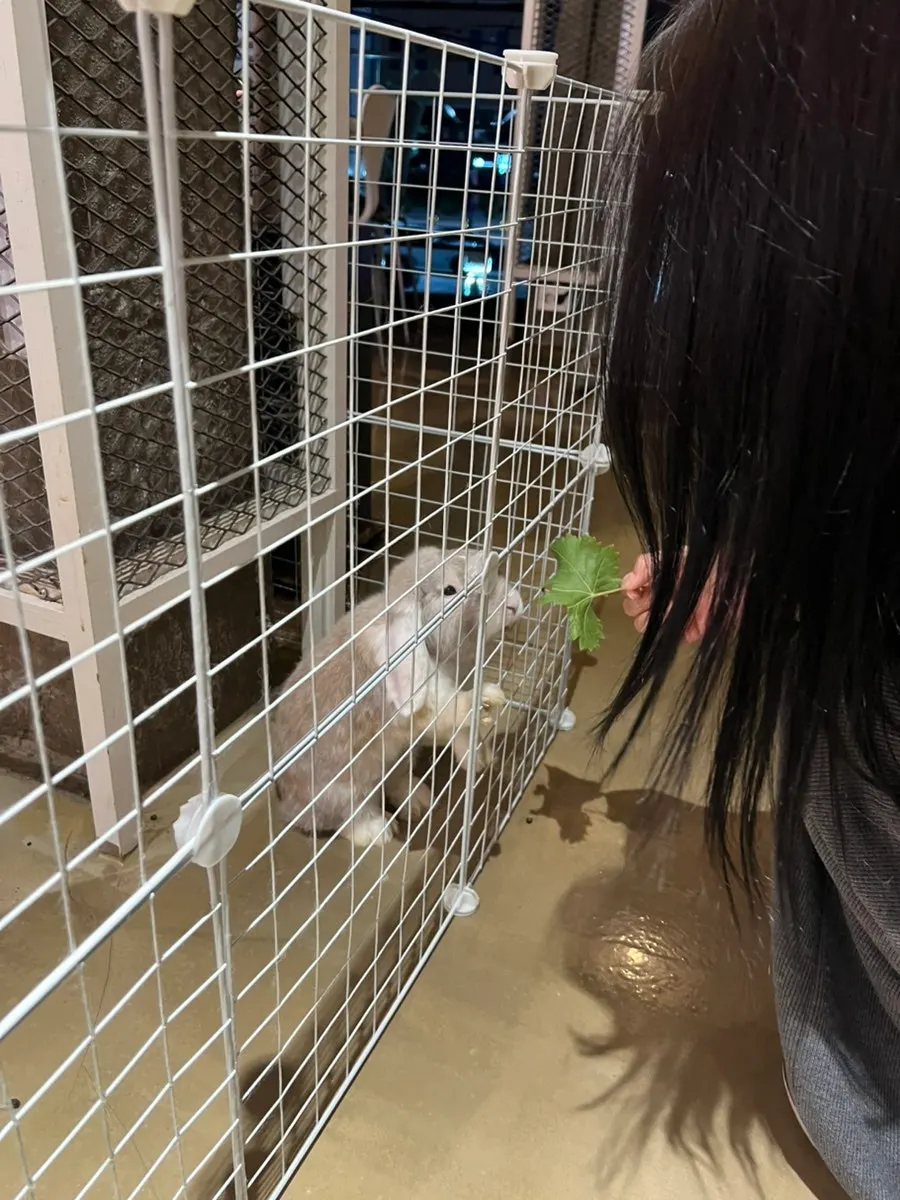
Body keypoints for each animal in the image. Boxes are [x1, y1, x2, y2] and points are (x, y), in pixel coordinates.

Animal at [271, 544, 524, 848]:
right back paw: (379, 830)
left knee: (396, 782)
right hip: (343, 790)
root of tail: (287, 804)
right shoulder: (425, 707)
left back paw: (418, 800)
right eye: (449, 590)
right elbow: (450, 711)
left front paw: (480, 758)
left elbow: (460, 730)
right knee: (343, 818)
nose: (514, 604)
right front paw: (488, 697)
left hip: (400, 759)